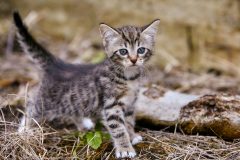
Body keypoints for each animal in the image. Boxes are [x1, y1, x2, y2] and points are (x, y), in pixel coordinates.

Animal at [13, 11, 159, 158]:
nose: (134, 60)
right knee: (31, 109)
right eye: (123, 51)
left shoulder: (130, 103)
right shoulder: (111, 105)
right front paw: (125, 148)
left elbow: (128, 121)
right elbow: (118, 128)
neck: (129, 77)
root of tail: (56, 65)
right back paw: (23, 130)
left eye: (141, 50)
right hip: (45, 102)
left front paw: (132, 135)